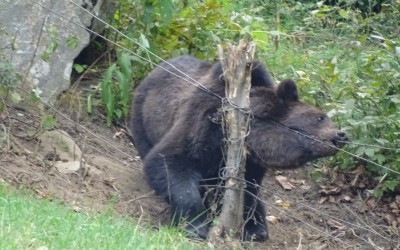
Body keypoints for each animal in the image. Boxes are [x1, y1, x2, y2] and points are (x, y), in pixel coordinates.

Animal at [129, 55, 346, 241]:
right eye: (321, 117)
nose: (342, 135)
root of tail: (158, 67)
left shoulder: (250, 162)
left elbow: (248, 191)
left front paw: (255, 228)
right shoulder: (204, 123)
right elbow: (171, 160)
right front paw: (196, 225)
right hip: (143, 118)